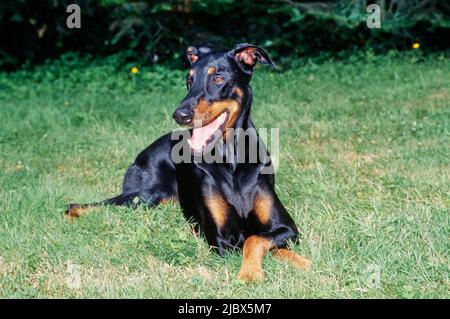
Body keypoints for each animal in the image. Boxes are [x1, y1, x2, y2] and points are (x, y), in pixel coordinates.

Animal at [67, 43, 312, 282]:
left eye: (218, 78)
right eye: (189, 79)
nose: (180, 115)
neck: (230, 159)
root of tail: (143, 152)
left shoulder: (287, 227)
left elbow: (262, 239)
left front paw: (301, 262)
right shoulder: (222, 240)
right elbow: (252, 240)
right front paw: (251, 273)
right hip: (145, 197)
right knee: (80, 205)